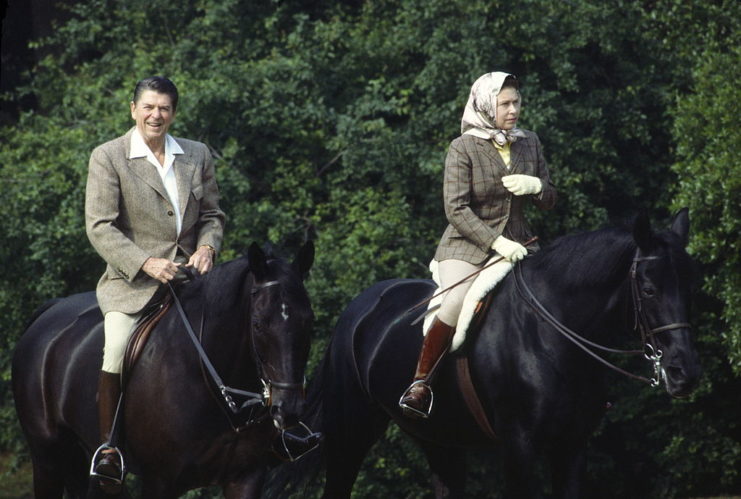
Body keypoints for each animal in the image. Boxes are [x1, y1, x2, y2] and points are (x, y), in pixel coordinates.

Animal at [12, 242, 316, 499]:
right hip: (47, 458)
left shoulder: (245, 478)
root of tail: (51, 310)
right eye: (258, 324)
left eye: (308, 320)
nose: (288, 410)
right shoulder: (160, 481)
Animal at [278, 209, 700, 498]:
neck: (552, 332)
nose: (684, 373)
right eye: (649, 289)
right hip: (350, 434)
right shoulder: (519, 447)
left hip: (440, 440)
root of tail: (361, 307)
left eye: (690, 283)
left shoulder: (572, 446)